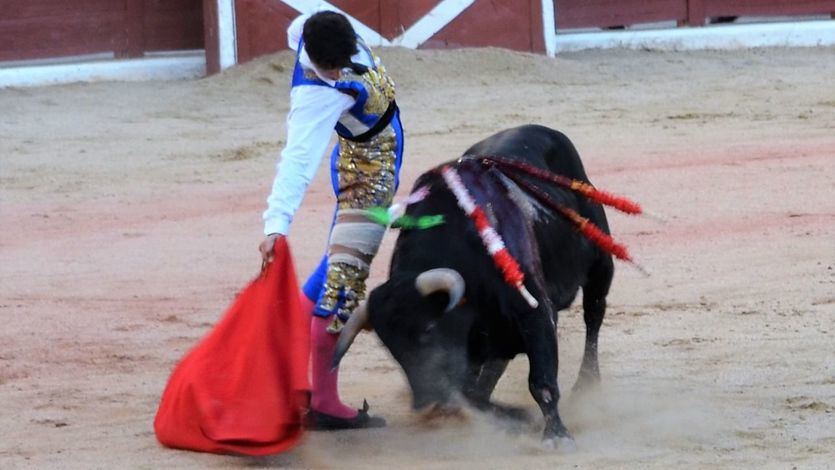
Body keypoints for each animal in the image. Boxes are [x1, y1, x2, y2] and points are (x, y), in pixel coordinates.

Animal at [336, 125, 616, 448]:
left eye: (428, 329)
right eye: (390, 346)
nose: (425, 402)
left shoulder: (535, 312)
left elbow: (542, 383)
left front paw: (557, 435)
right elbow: (470, 393)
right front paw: (517, 417)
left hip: (601, 264)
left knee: (593, 316)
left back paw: (587, 384)